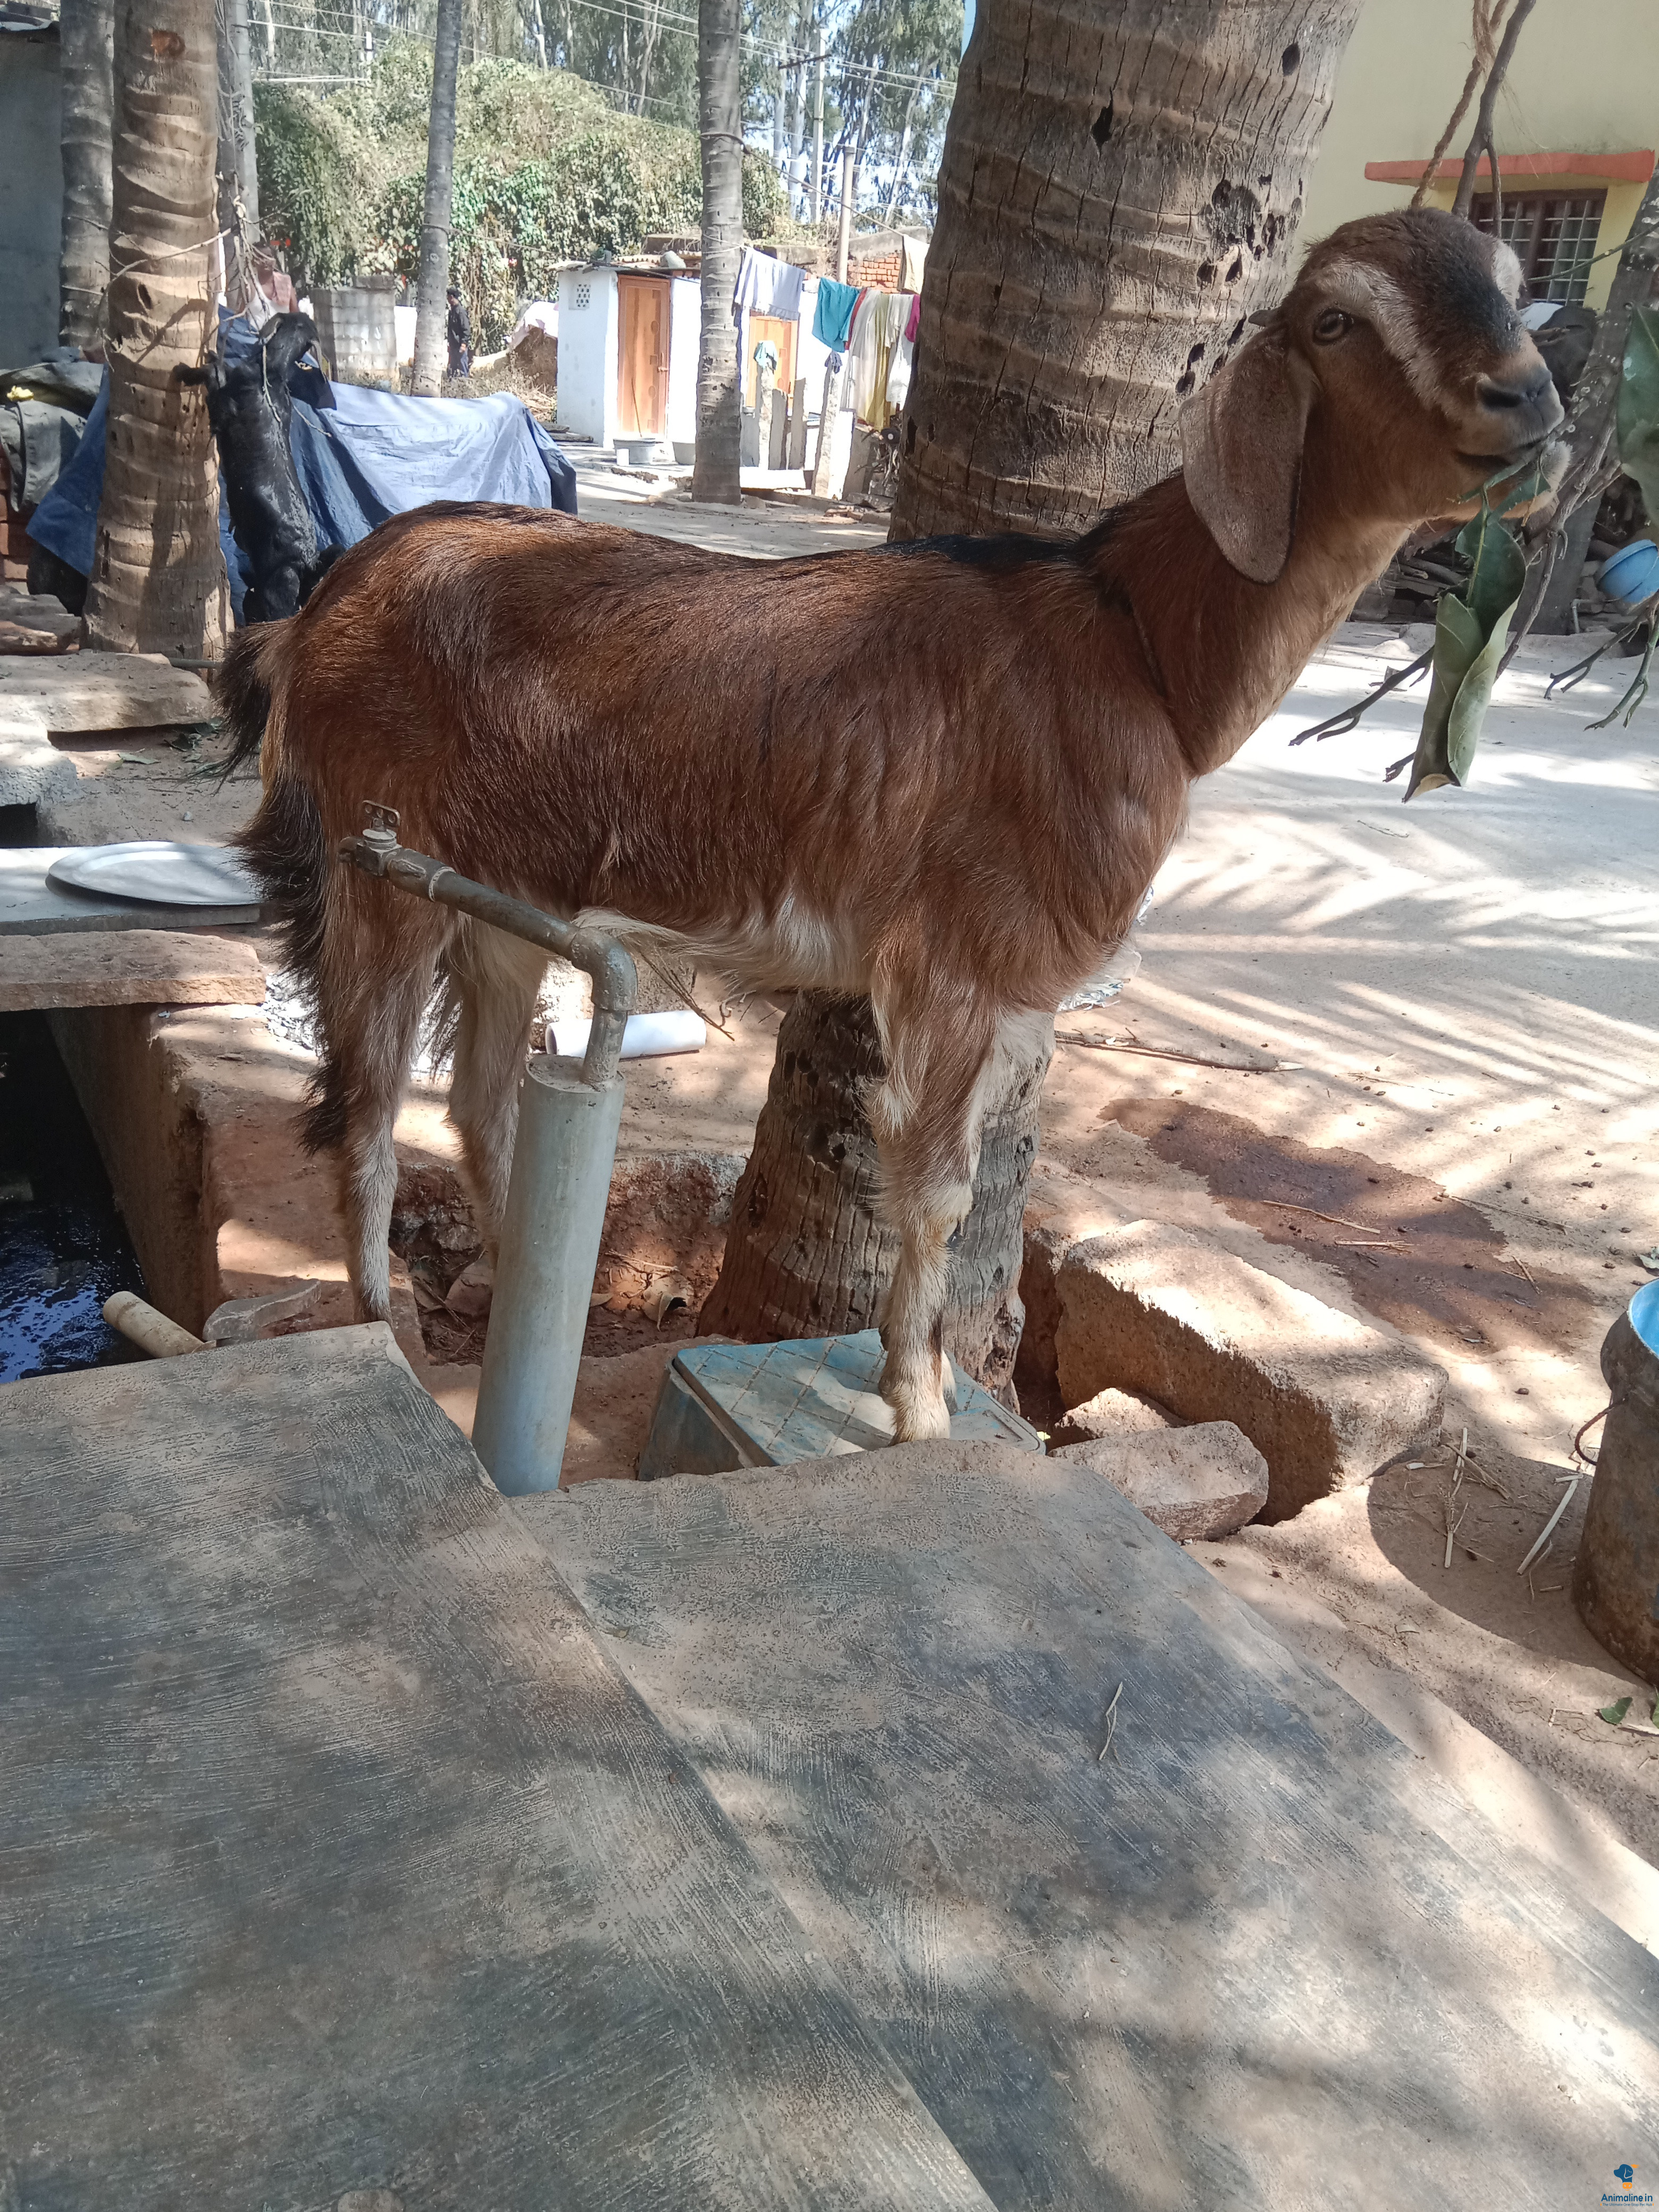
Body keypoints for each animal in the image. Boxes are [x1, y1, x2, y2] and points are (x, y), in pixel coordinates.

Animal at [178, 312, 341, 624]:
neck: (272, 373)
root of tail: (308, 560)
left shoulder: (224, 403)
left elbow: (212, 372)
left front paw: (184, 370)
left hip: (277, 590)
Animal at [222, 209, 1563, 1444]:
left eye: (1510, 287)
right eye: (1336, 320)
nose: (1530, 399)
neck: (1135, 648)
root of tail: (321, 607)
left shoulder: (1009, 998)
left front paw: (914, 1383)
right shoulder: (954, 963)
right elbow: (932, 1194)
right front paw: (918, 1408)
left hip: (506, 896)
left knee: (482, 1102)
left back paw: (513, 1298)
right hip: (378, 864)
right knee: (367, 1105)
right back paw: (380, 1326)